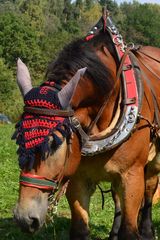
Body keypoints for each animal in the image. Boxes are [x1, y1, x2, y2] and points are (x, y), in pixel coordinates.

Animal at [13, 15, 160, 239]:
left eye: (54, 144)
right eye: (20, 142)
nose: (24, 218)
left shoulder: (131, 176)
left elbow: (129, 228)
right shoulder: (78, 178)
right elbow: (80, 228)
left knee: (150, 190)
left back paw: (147, 229)